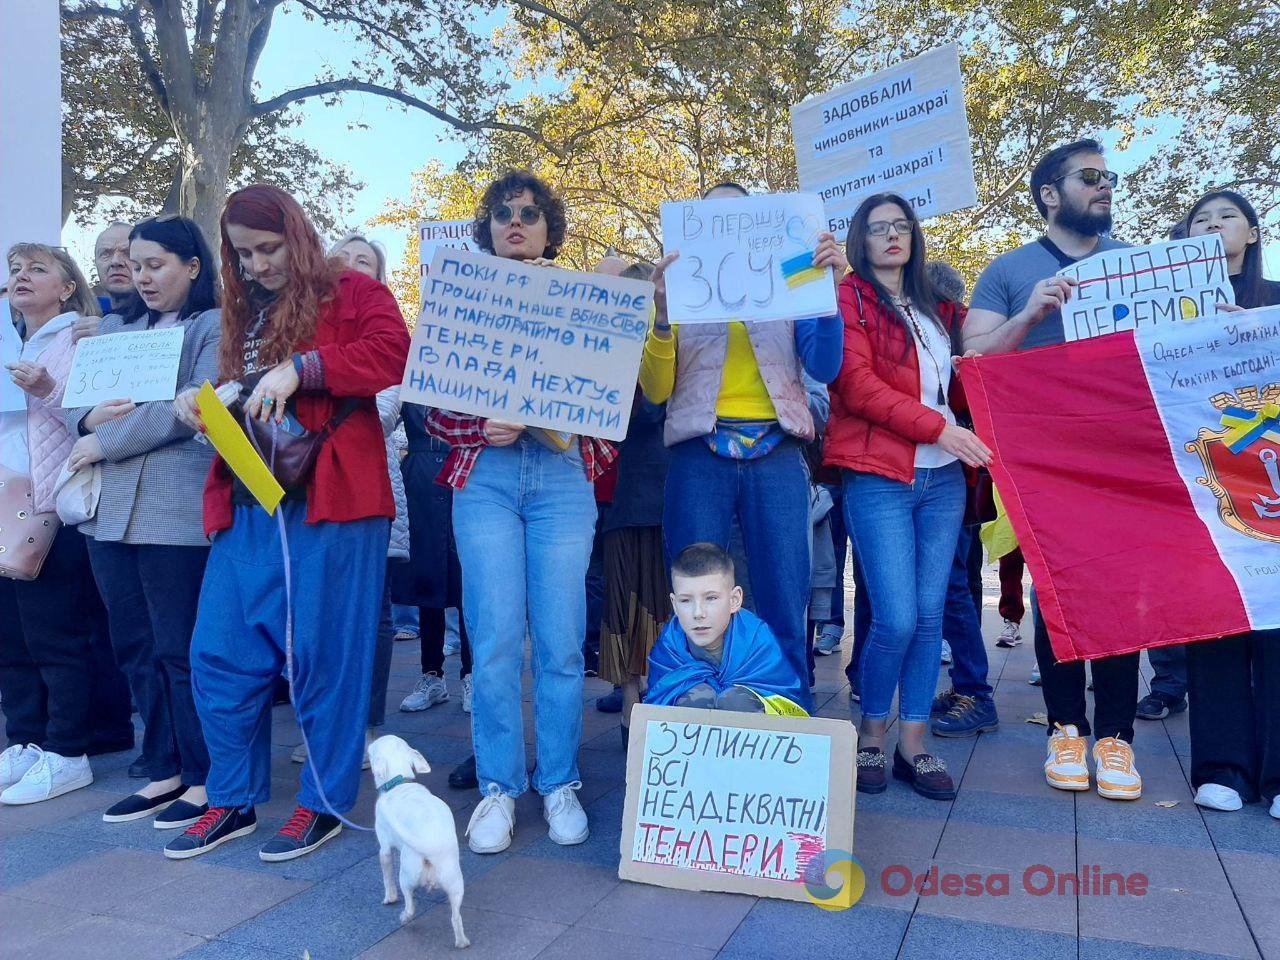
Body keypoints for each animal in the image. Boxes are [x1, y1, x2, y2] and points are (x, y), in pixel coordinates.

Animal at [368, 737, 468, 947]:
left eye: (371, 751)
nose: (368, 744)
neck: (399, 782)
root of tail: (433, 847)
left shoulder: (384, 849)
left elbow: (386, 877)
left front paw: (389, 898)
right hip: (455, 884)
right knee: (456, 917)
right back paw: (462, 942)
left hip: (406, 876)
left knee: (410, 906)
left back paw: (404, 917)